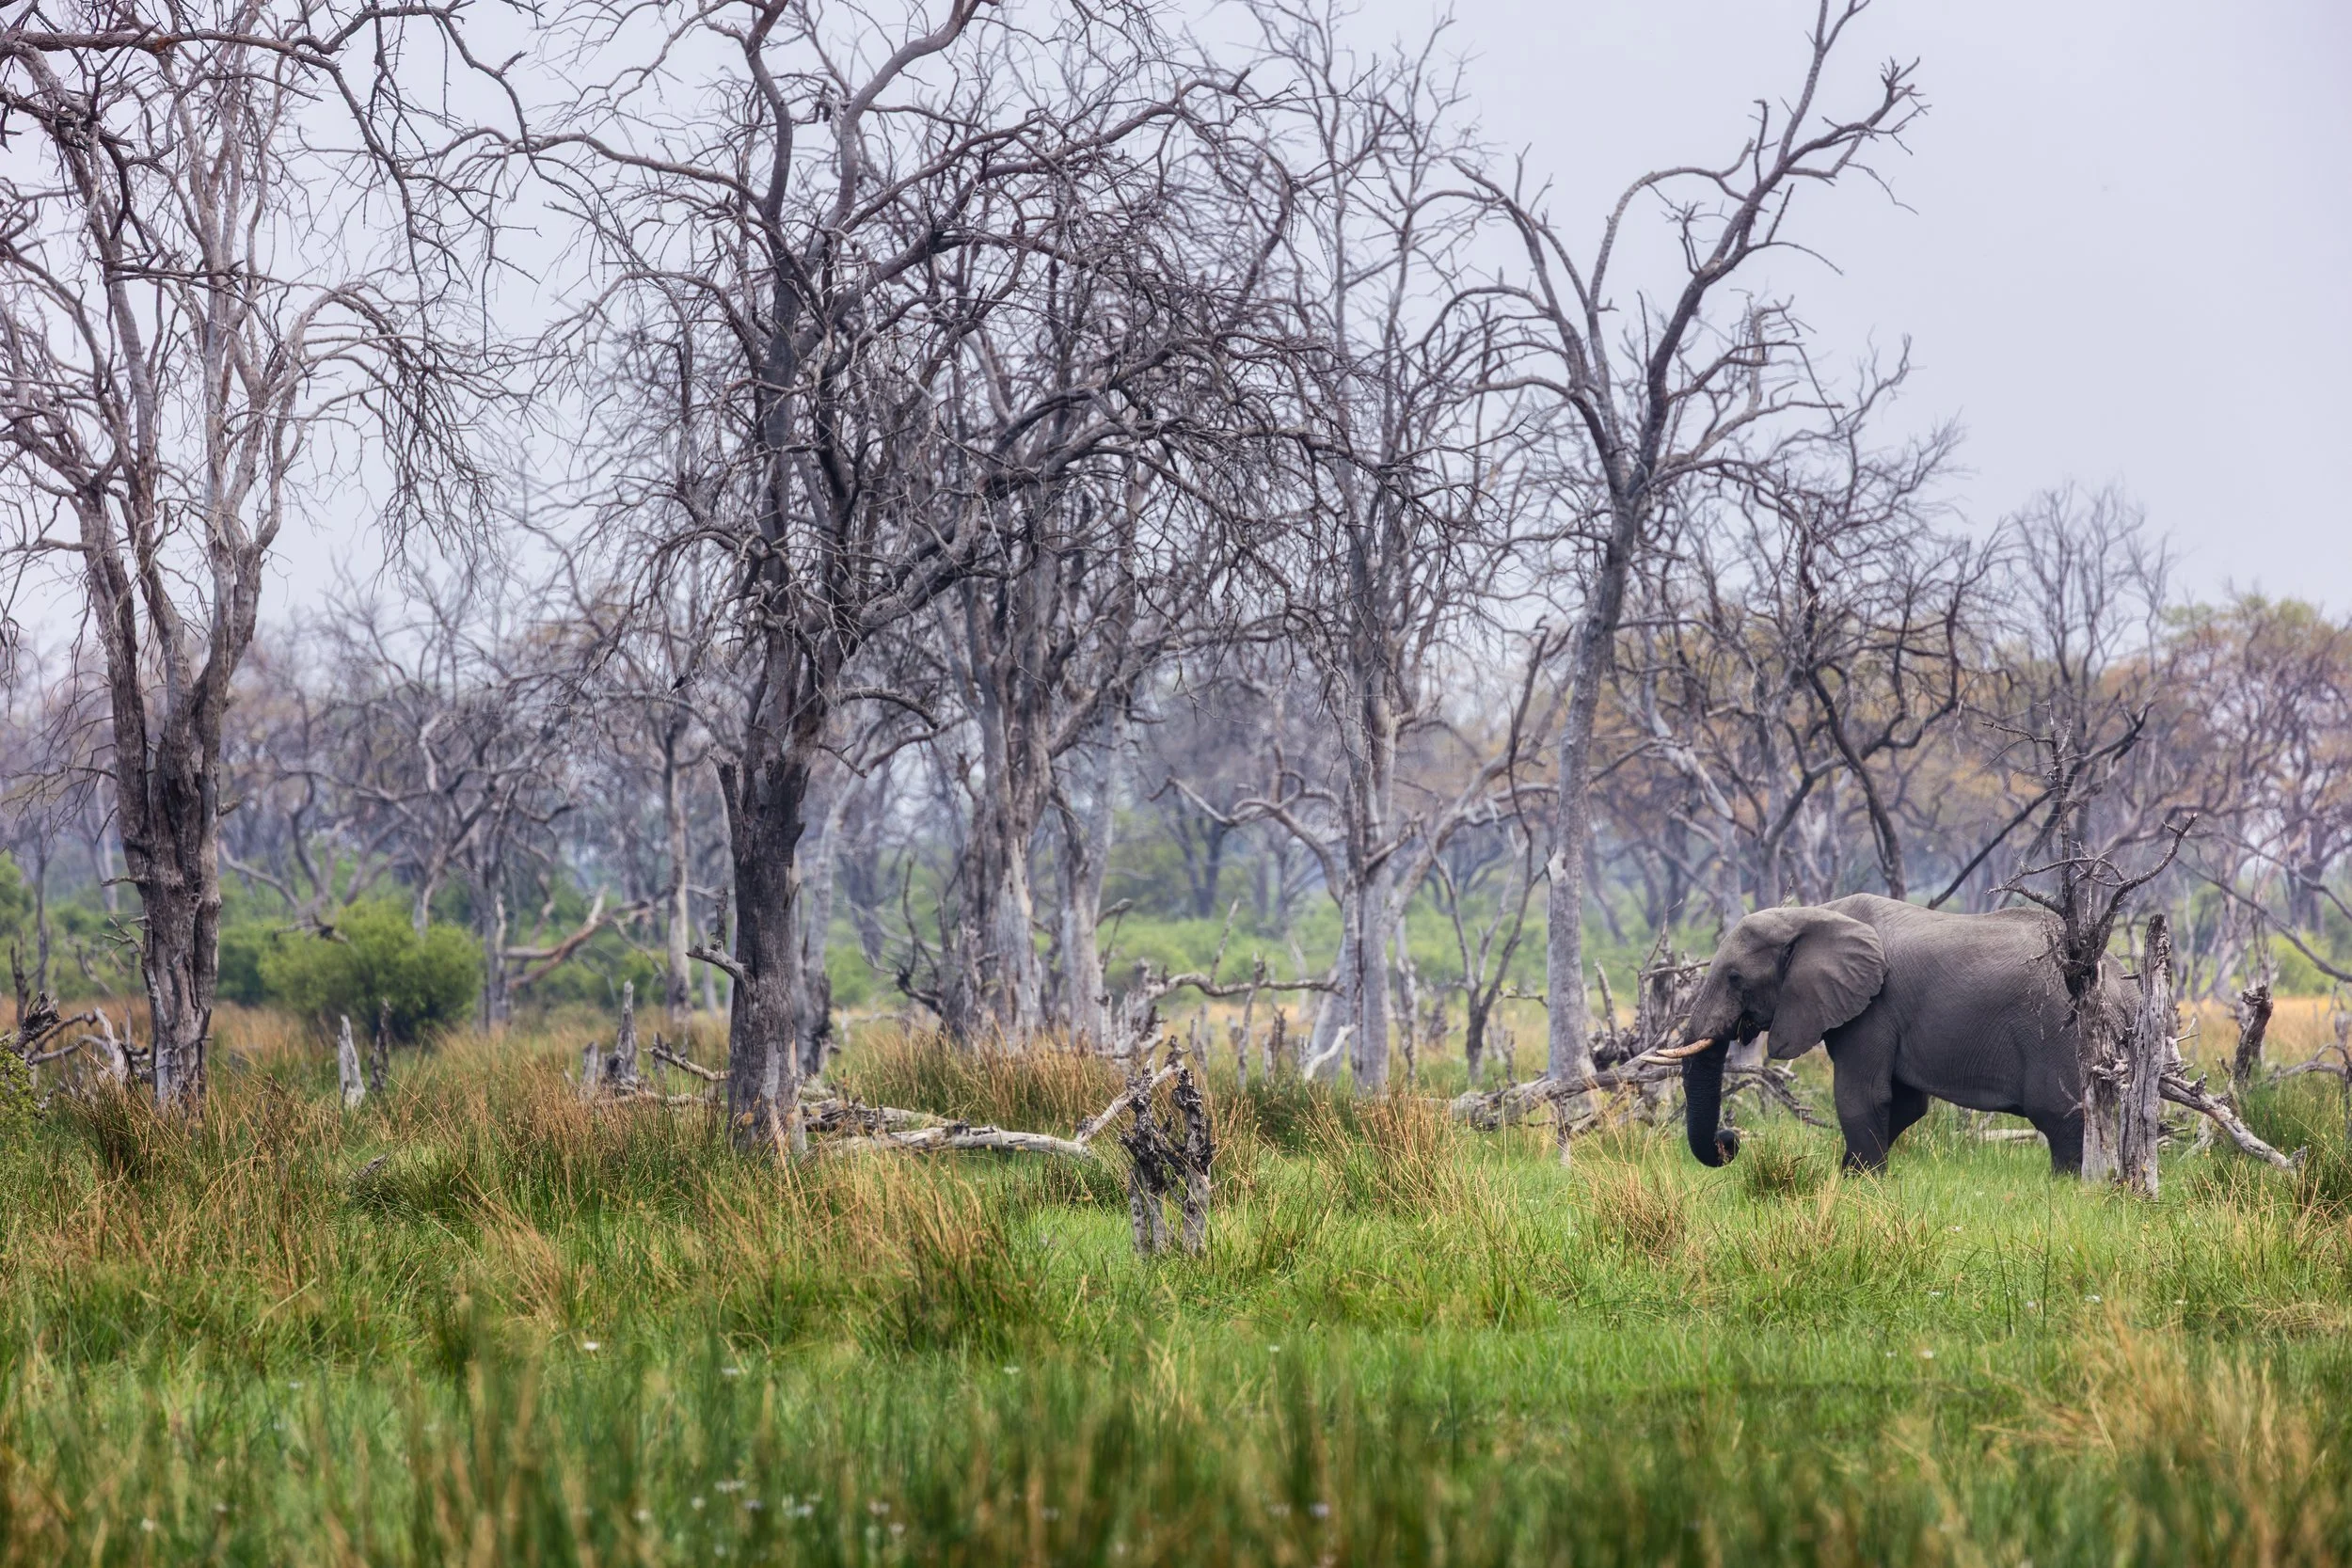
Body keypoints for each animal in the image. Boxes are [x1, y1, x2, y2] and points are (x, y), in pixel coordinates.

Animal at [1665, 893, 2098, 1174]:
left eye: (1735, 978)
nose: (1730, 1139)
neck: (1812, 914)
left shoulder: (1875, 1006)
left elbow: (1862, 1097)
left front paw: (1862, 1184)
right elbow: (1907, 1104)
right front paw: (1847, 1177)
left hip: (2057, 1033)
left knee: (2060, 1117)